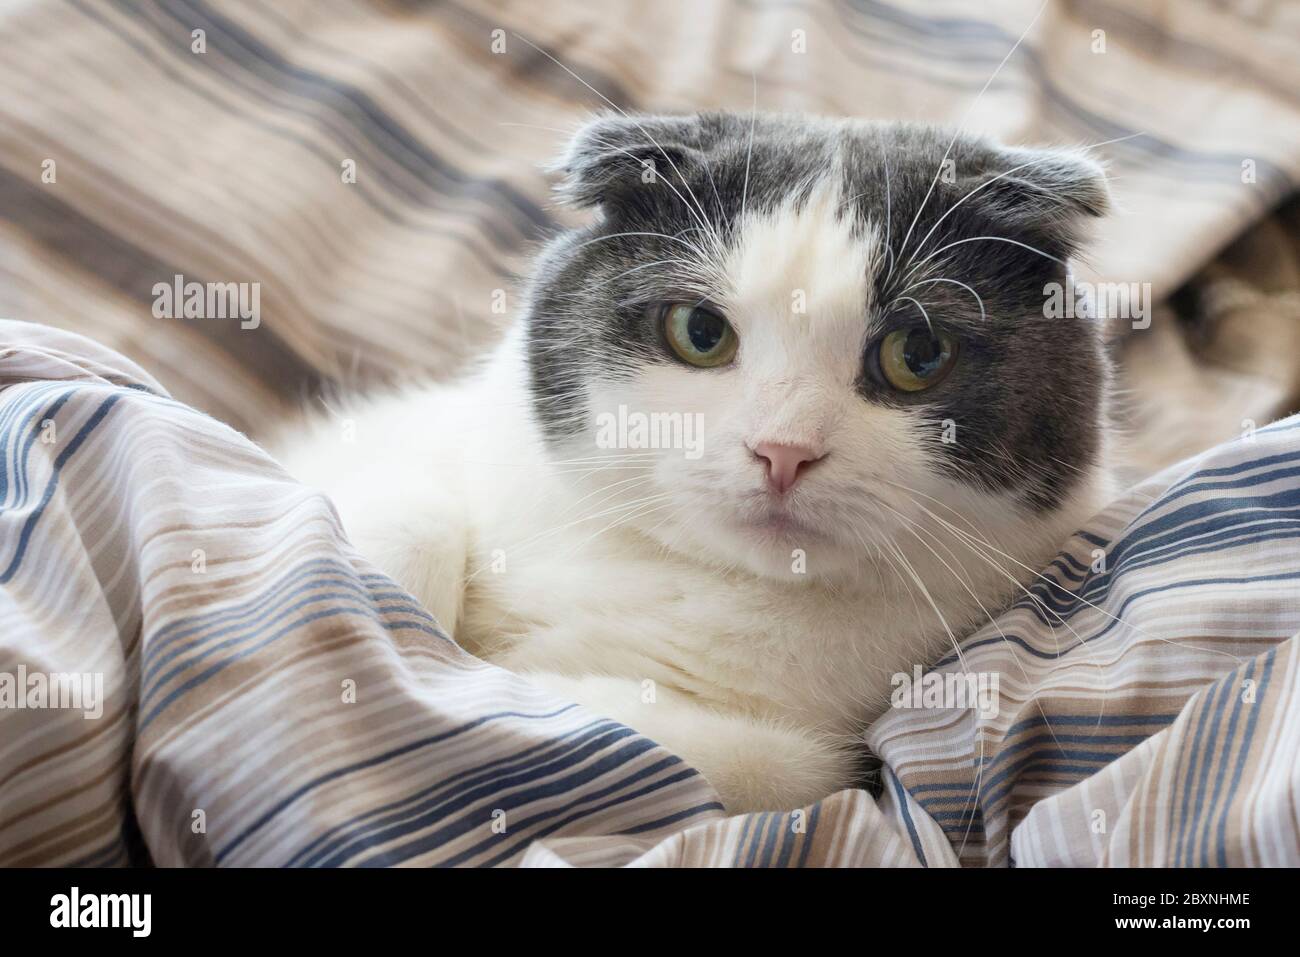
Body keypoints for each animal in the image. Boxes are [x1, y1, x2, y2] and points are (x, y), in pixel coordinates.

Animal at [271, 113, 1107, 816]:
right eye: (700, 332)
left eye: (918, 354)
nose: (783, 449)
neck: (684, 578)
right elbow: (402, 519)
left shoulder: (821, 759)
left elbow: (733, 755)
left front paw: (503, 682)